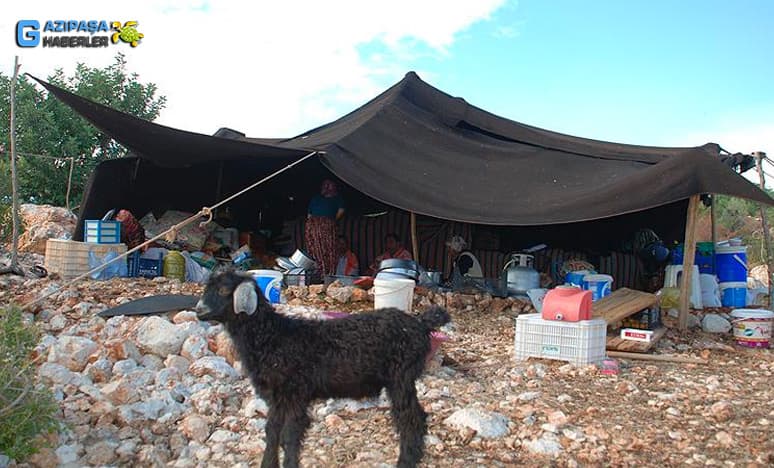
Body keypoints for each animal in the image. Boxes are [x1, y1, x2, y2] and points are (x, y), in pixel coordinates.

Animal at [194, 270, 452, 468]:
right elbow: (272, 432)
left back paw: (406, 461)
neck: (273, 336)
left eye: (223, 291)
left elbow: (289, 436)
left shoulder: (296, 394)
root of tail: (420, 323)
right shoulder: (277, 398)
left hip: (401, 378)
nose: (199, 310)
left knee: (411, 419)